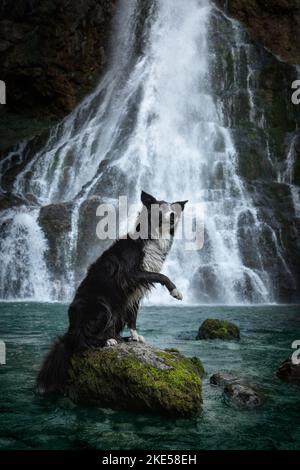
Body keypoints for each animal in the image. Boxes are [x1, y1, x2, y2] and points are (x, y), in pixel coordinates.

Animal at [36, 191, 188, 392]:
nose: (172, 216)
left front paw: (135, 336)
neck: (150, 237)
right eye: (160, 208)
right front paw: (175, 291)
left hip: (115, 312)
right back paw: (106, 341)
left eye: (174, 209)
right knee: (81, 340)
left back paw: (121, 338)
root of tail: (70, 330)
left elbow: (134, 316)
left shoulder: (134, 293)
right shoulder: (132, 275)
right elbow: (162, 275)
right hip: (102, 309)